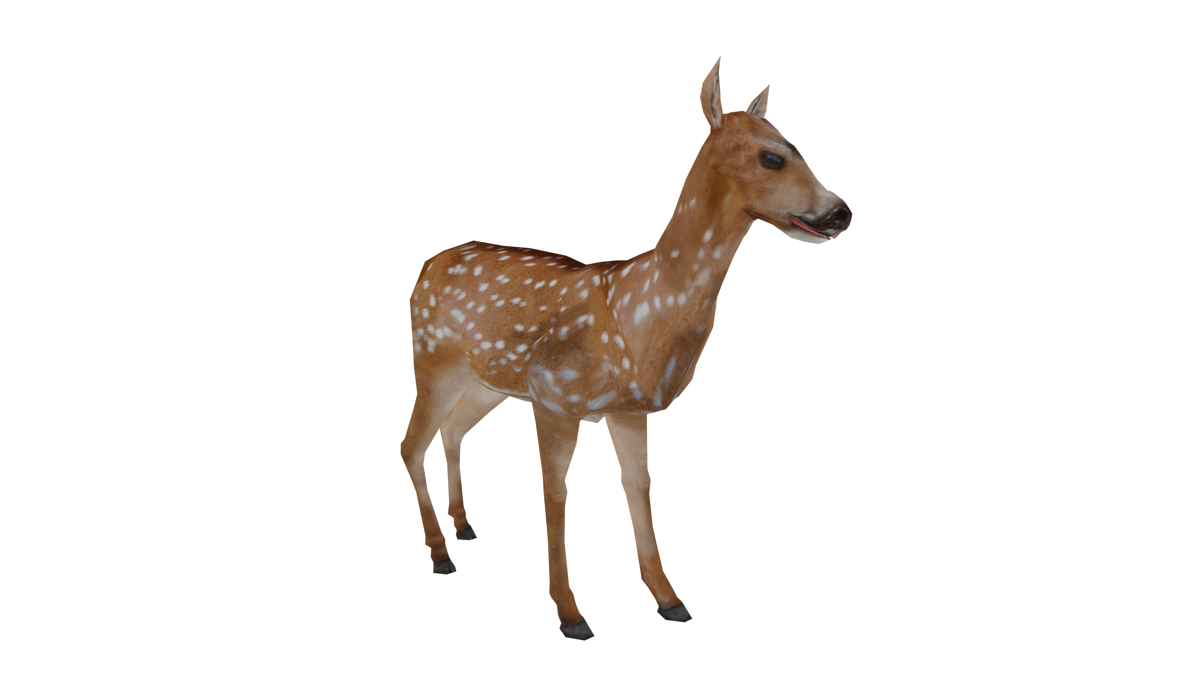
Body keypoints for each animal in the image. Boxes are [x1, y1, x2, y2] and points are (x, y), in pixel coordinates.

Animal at [399, 53, 853, 643]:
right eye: (773, 156)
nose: (843, 212)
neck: (640, 314)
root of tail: (426, 262)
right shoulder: (556, 398)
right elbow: (556, 497)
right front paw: (572, 617)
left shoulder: (628, 411)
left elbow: (639, 491)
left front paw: (671, 602)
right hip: (432, 358)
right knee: (410, 444)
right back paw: (440, 556)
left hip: (491, 380)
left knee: (452, 432)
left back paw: (467, 528)